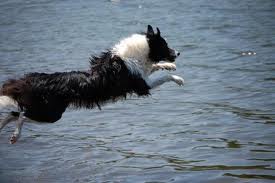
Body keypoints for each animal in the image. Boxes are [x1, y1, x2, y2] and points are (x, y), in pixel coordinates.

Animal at [0, 25, 185, 144]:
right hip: (52, 114)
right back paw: (15, 135)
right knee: (22, 115)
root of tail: (34, 80)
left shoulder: (143, 75)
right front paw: (177, 79)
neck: (133, 55)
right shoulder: (142, 86)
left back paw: (2, 127)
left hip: (45, 110)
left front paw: (169, 66)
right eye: (165, 45)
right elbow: (163, 77)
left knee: (14, 113)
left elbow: (155, 66)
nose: (178, 53)